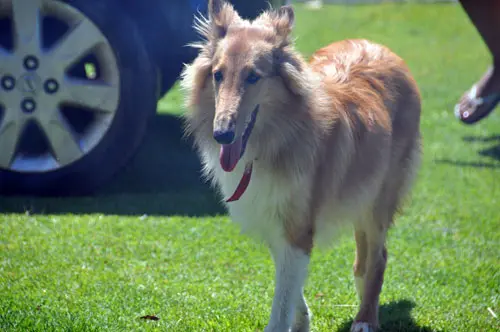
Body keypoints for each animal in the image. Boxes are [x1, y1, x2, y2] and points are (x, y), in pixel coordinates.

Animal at [180, 1, 422, 330]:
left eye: (253, 76)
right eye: (218, 75)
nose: (222, 134)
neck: (274, 140)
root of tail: (380, 47)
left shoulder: (297, 229)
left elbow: (281, 301)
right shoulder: (273, 220)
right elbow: (290, 288)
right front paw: (303, 321)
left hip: (379, 199)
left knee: (379, 257)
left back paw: (365, 318)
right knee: (362, 262)